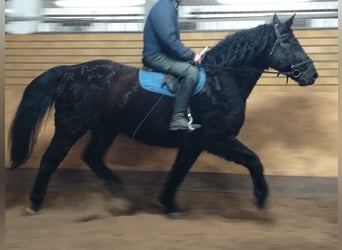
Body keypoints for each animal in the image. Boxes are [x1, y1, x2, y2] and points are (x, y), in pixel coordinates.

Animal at [8, 14, 318, 216]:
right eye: (289, 42)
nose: (312, 74)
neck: (221, 81)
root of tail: (70, 70)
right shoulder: (215, 139)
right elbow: (252, 160)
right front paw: (261, 200)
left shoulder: (197, 143)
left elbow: (179, 171)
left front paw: (168, 203)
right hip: (70, 126)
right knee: (50, 160)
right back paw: (34, 203)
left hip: (104, 128)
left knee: (93, 157)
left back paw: (121, 199)